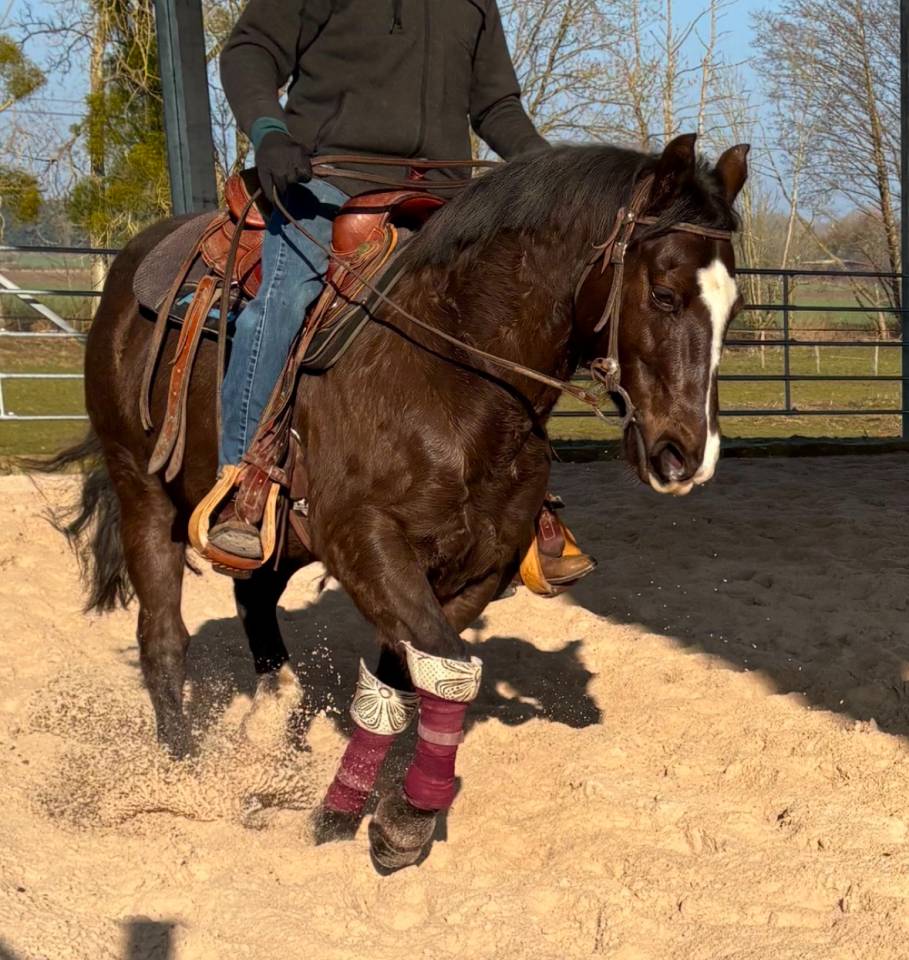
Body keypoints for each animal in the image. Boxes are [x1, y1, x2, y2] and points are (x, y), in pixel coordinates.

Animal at [40, 132, 747, 870]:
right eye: (663, 294)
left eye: (735, 306)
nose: (687, 454)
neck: (454, 373)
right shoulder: (366, 540)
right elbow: (447, 669)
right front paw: (405, 821)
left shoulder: (476, 566)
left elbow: (407, 679)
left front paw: (348, 809)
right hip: (143, 490)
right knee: (162, 637)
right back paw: (183, 771)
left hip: (278, 536)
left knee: (254, 595)